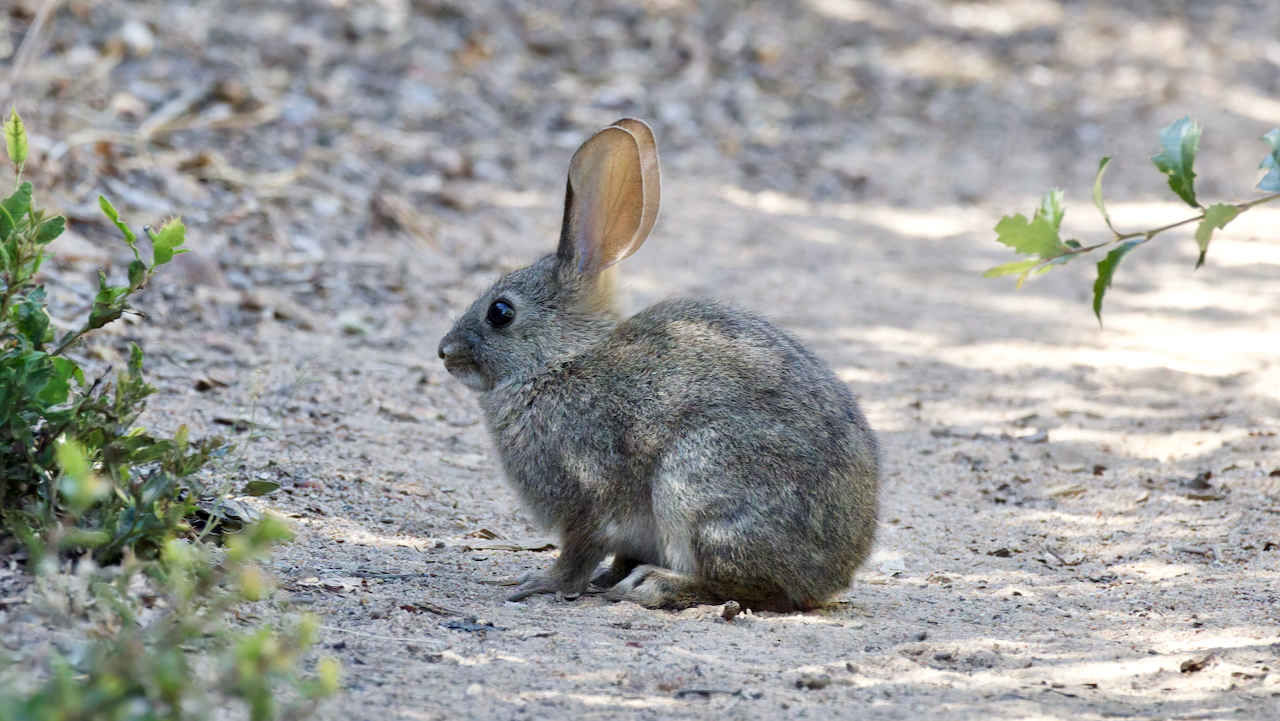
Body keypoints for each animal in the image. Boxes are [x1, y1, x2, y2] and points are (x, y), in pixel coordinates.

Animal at [437, 118, 880, 611]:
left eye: (500, 312)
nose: (445, 351)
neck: (561, 360)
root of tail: (829, 577)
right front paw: (603, 578)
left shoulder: (587, 495)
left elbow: (578, 552)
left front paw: (539, 583)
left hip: (695, 482)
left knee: (745, 585)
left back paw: (658, 585)